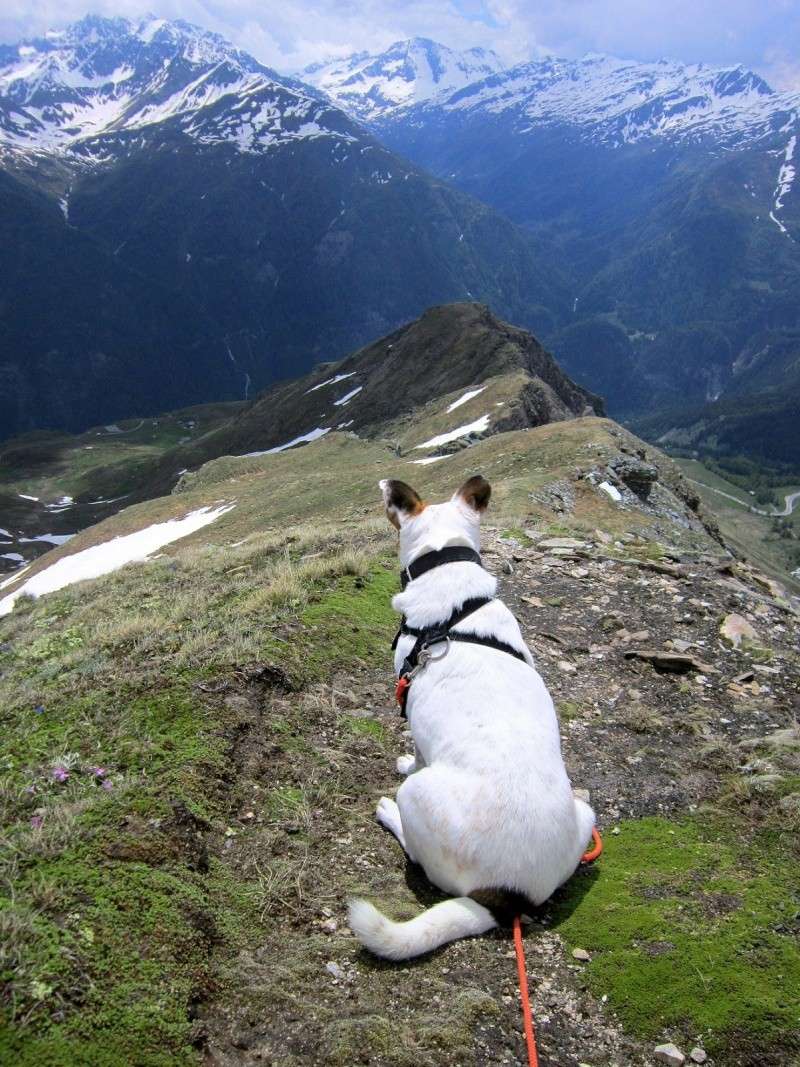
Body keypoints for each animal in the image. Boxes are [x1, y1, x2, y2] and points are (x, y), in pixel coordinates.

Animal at [347, 475, 597, 960]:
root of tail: (508, 897)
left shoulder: (411, 702)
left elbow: (416, 752)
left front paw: (405, 762)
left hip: (419, 799)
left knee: (418, 854)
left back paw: (390, 814)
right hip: (586, 811)